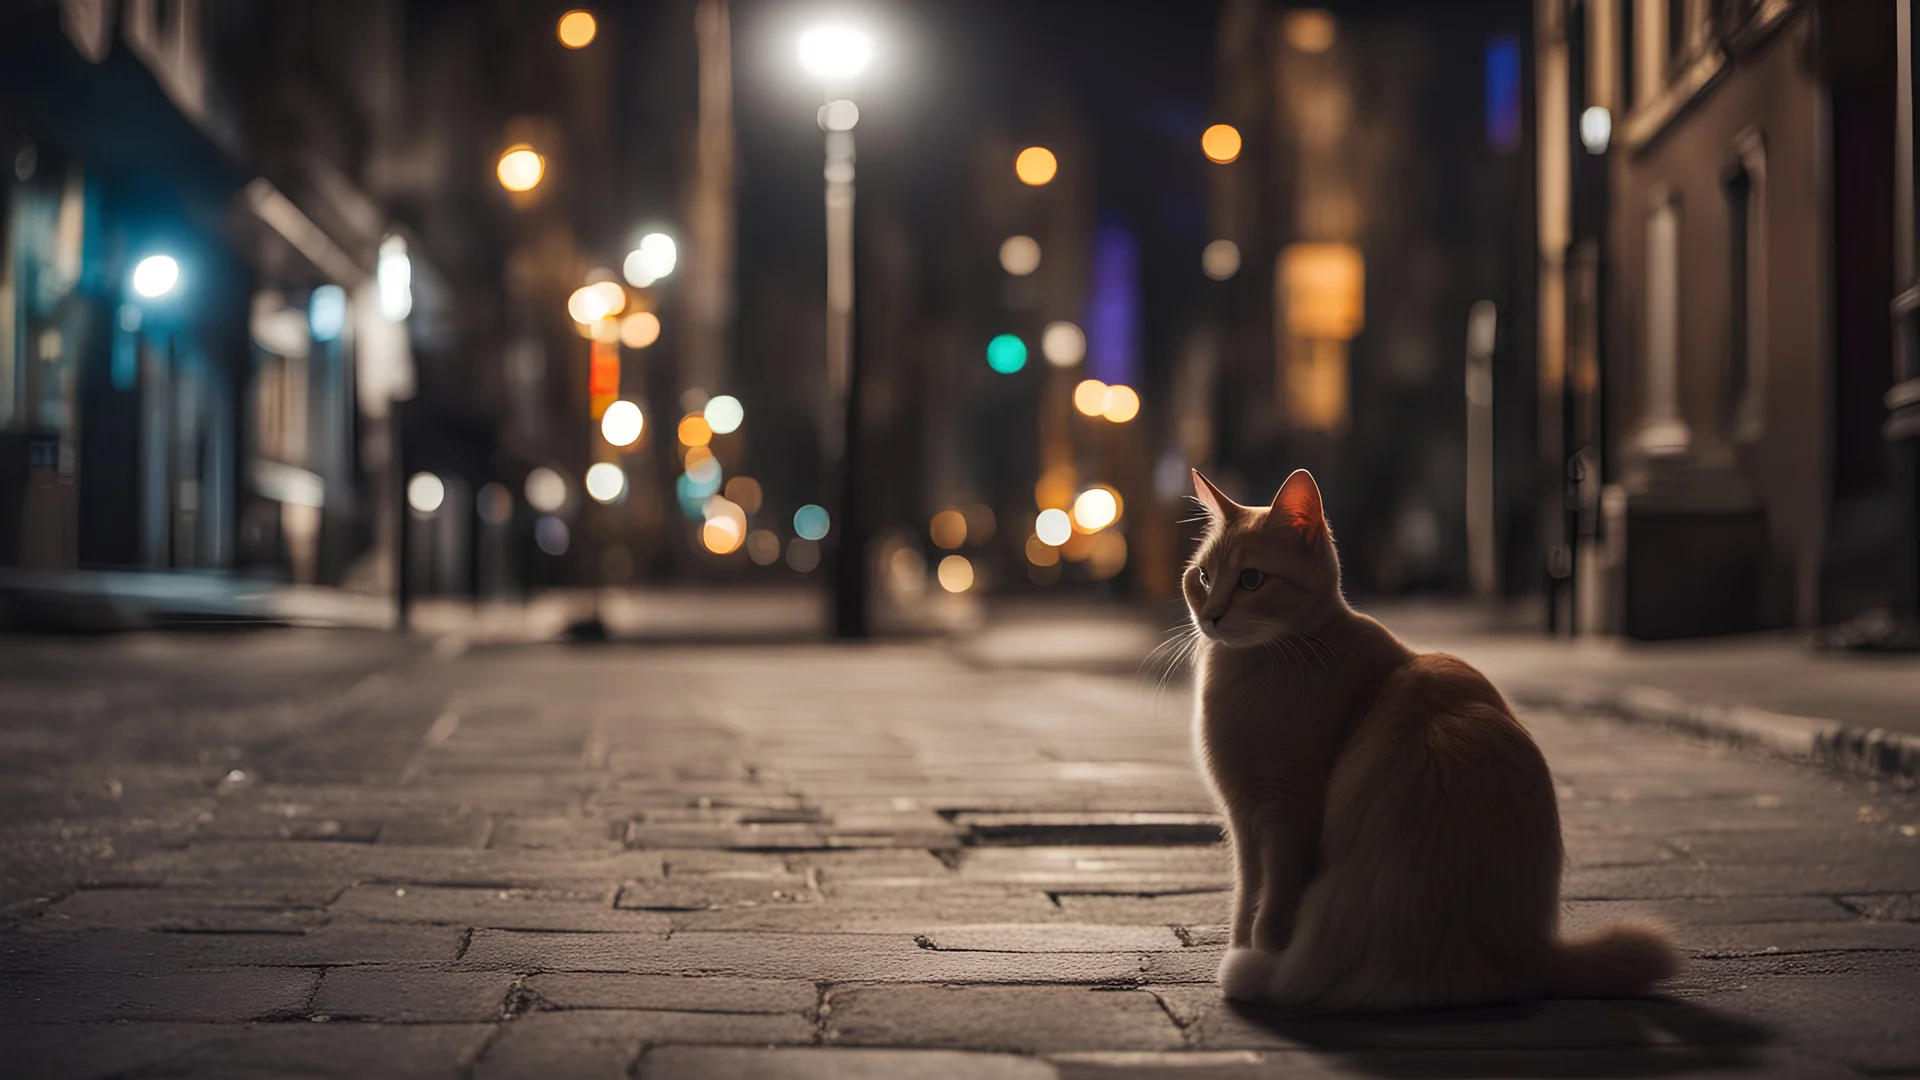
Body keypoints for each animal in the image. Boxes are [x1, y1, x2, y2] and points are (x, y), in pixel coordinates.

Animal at [1175, 466, 1674, 1006]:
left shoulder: (1285, 816)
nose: (1211, 615)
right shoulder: (1245, 821)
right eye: (1204, 577)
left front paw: (1256, 952)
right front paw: (1240, 942)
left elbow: (1268, 908)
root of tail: (1529, 957)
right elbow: (1246, 897)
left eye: (1250, 580)